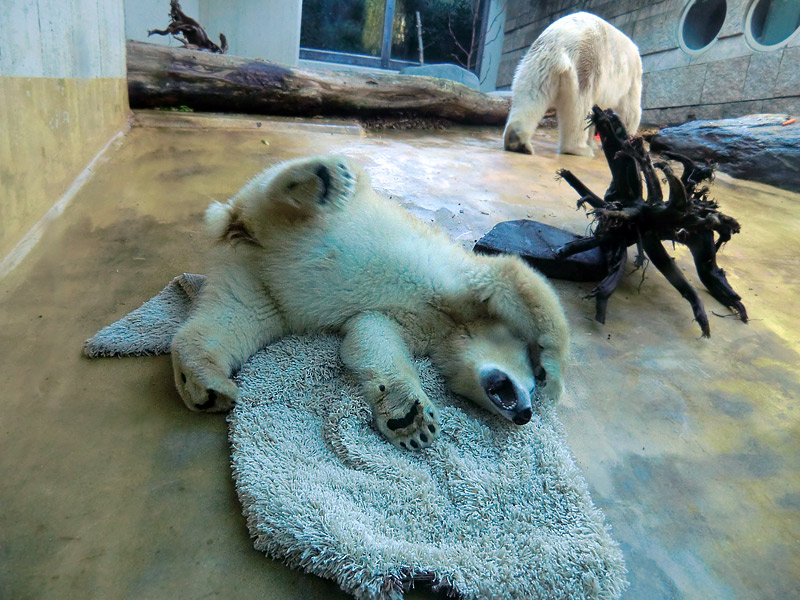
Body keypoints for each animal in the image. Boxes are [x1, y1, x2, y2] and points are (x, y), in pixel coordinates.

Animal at [170, 155, 568, 450]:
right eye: (531, 383)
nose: (526, 414)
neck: (452, 321)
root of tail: (235, 220)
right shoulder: (458, 277)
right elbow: (513, 278)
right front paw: (555, 371)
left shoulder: (413, 321)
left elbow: (370, 334)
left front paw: (409, 420)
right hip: (315, 211)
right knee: (307, 188)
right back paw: (321, 179)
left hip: (250, 273)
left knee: (237, 315)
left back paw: (206, 386)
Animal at [506, 12, 644, 157]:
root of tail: (560, 40)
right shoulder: (633, 78)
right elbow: (630, 110)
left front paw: (594, 141)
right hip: (585, 62)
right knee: (579, 105)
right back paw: (580, 149)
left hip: (538, 63)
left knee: (531, 94)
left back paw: (517, 141)